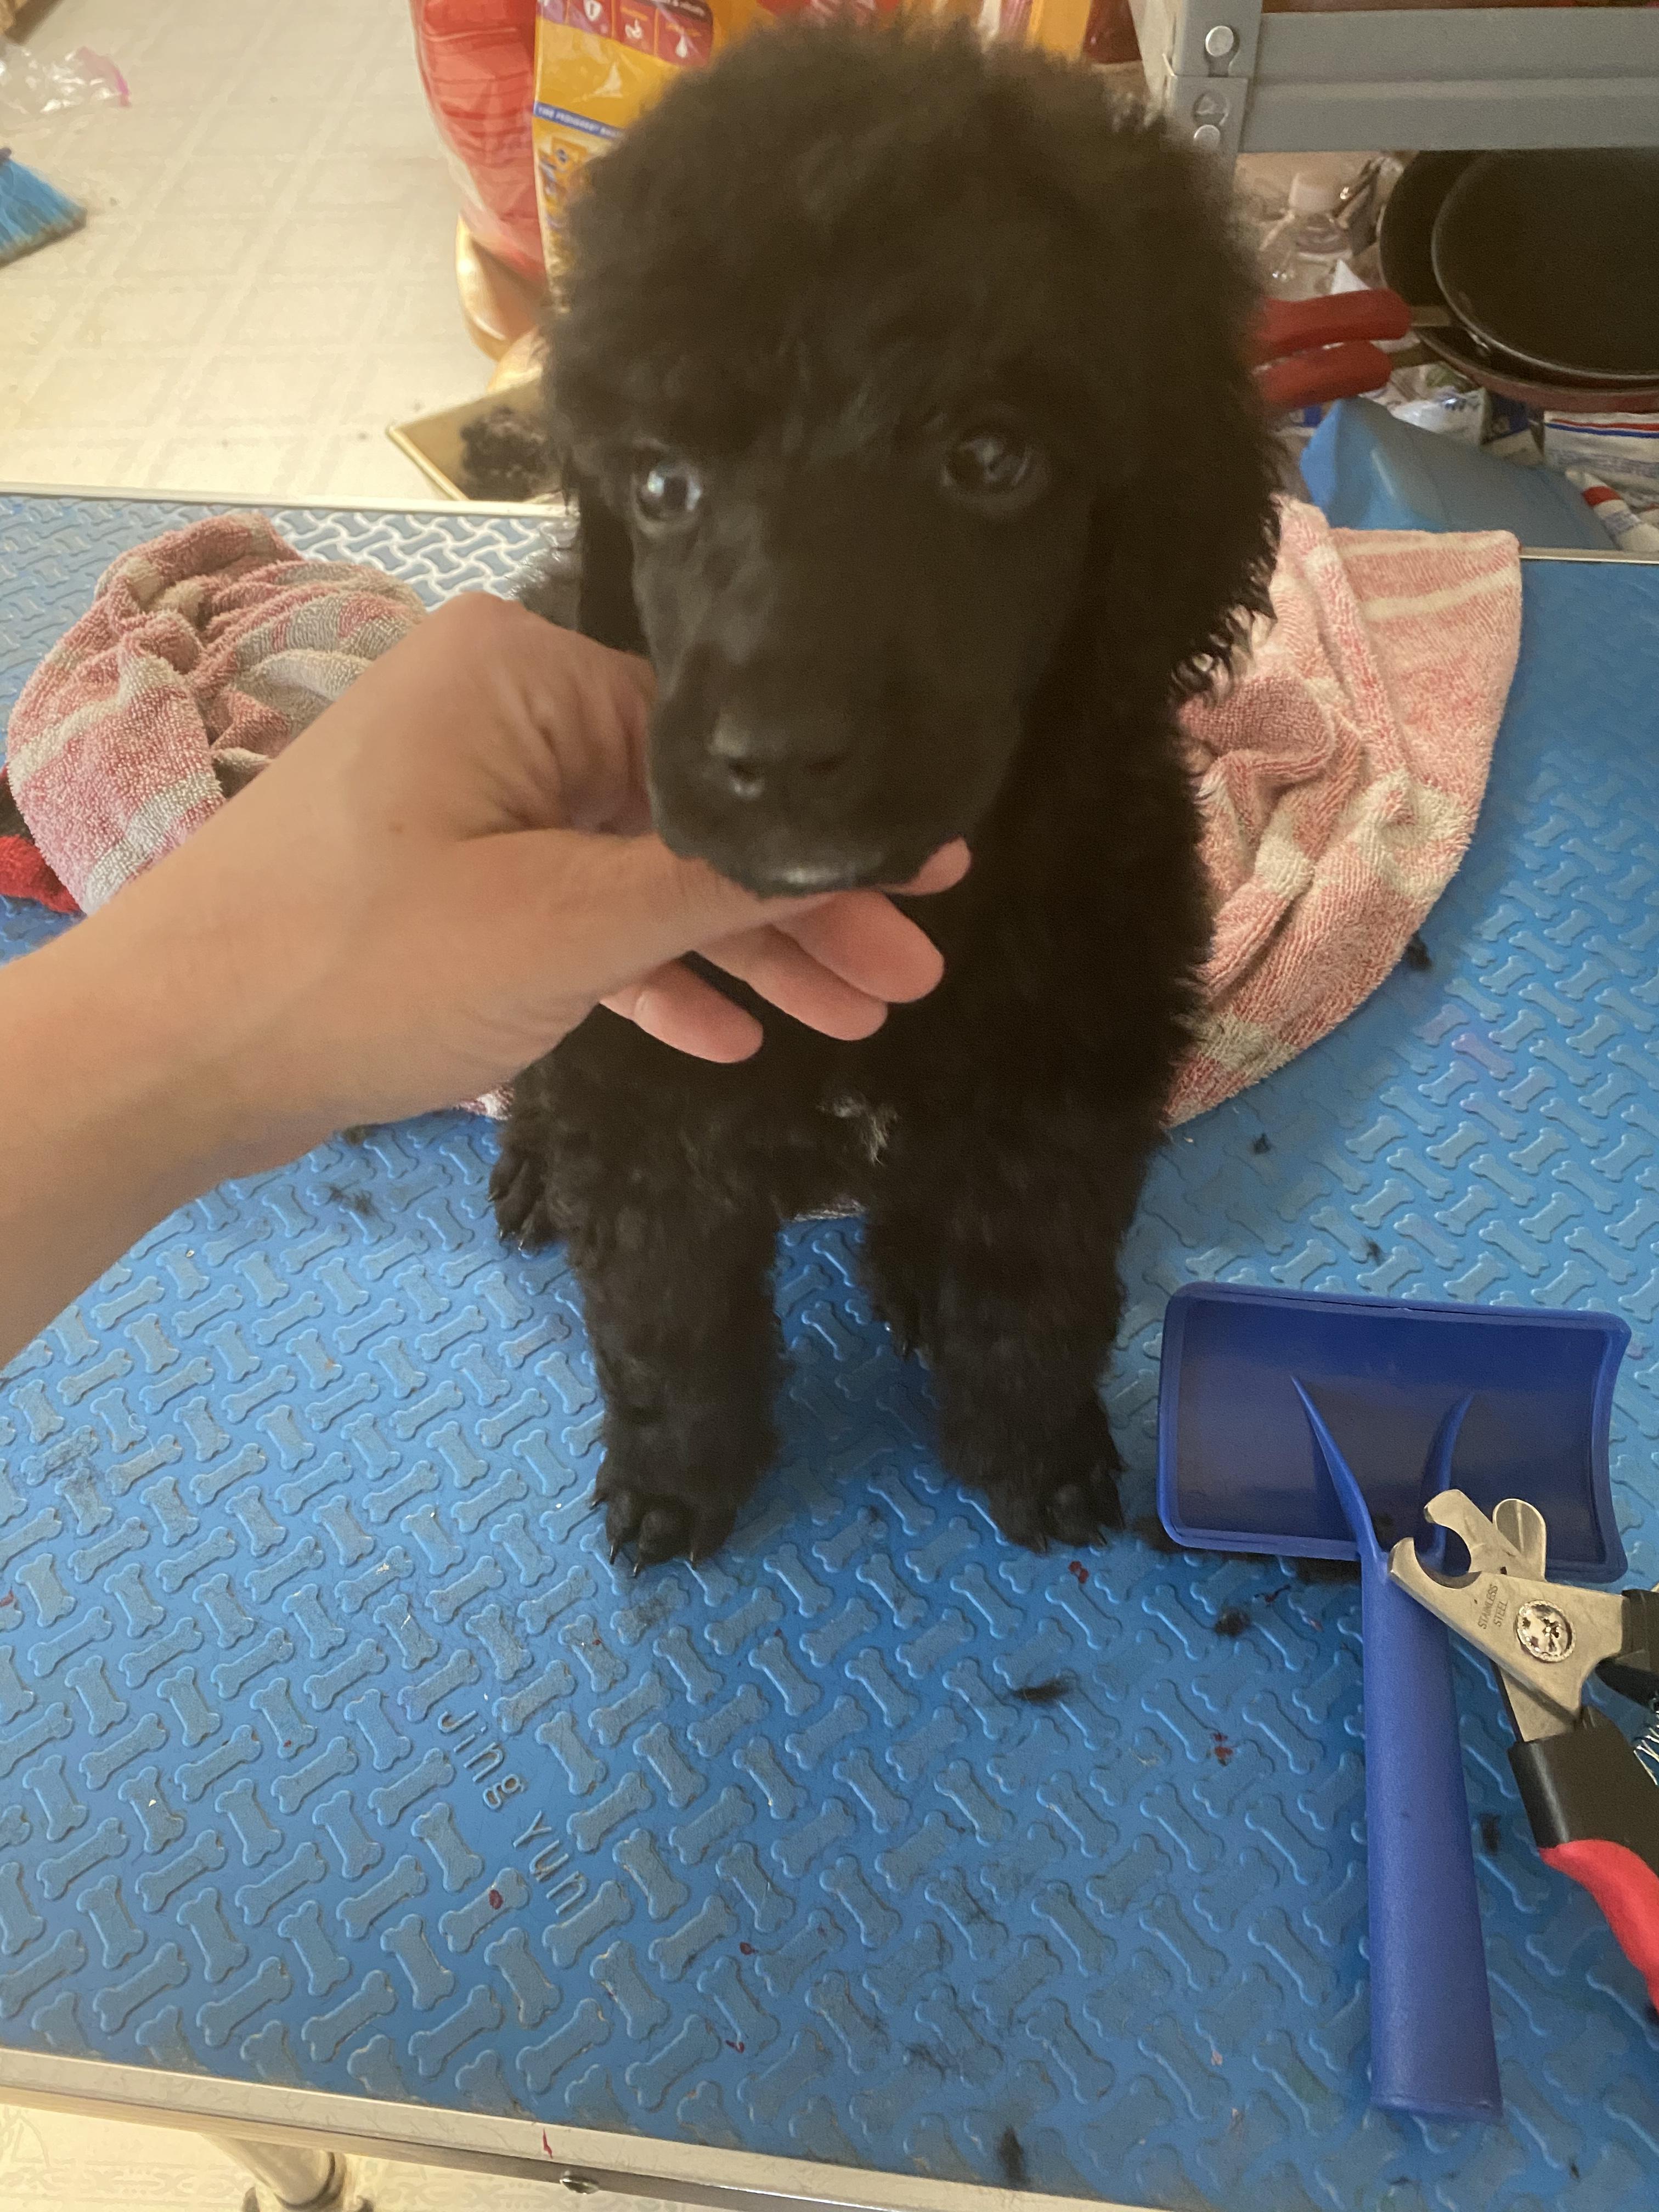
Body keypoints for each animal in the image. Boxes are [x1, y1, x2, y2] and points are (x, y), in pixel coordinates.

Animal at [497, 20, 1279, 1566]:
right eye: (660, 486)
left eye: (990, 461)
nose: (776, 756)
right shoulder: (652, 1092)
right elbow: (666, 1310)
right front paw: (678, 1478)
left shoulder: (1068, 1094)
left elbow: (1033, 1300)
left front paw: (1035, 1459)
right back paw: (531, 1172)